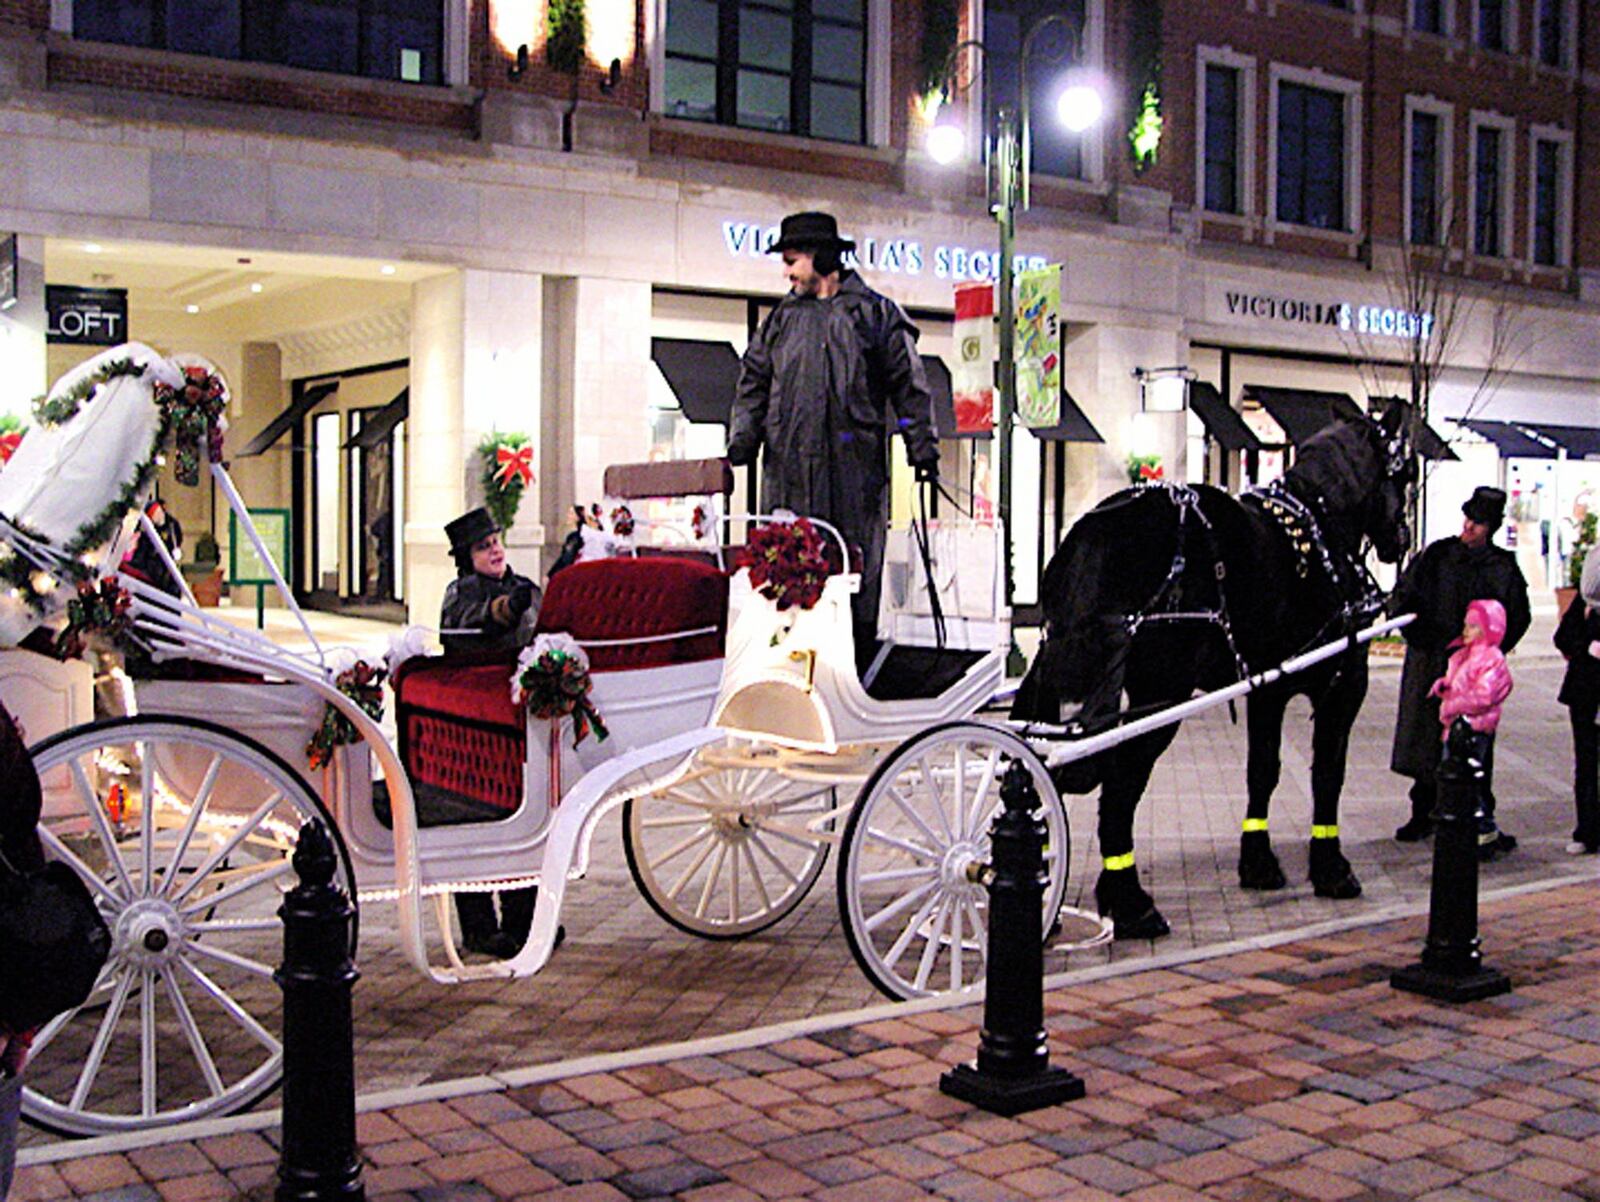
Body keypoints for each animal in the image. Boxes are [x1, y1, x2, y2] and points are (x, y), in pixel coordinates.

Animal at [1017, 412, 1408, 941]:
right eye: (1403, 473)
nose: (1401, 538)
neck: (1320, 522)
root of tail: (1095, 533)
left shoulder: (1268, 684)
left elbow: (1263, 770)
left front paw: (1258, 862)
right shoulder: (1342, 683)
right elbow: (1328, 773)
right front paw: (1332, 866)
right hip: (1162, 692)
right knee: (1119, 786)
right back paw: (1131, 902)